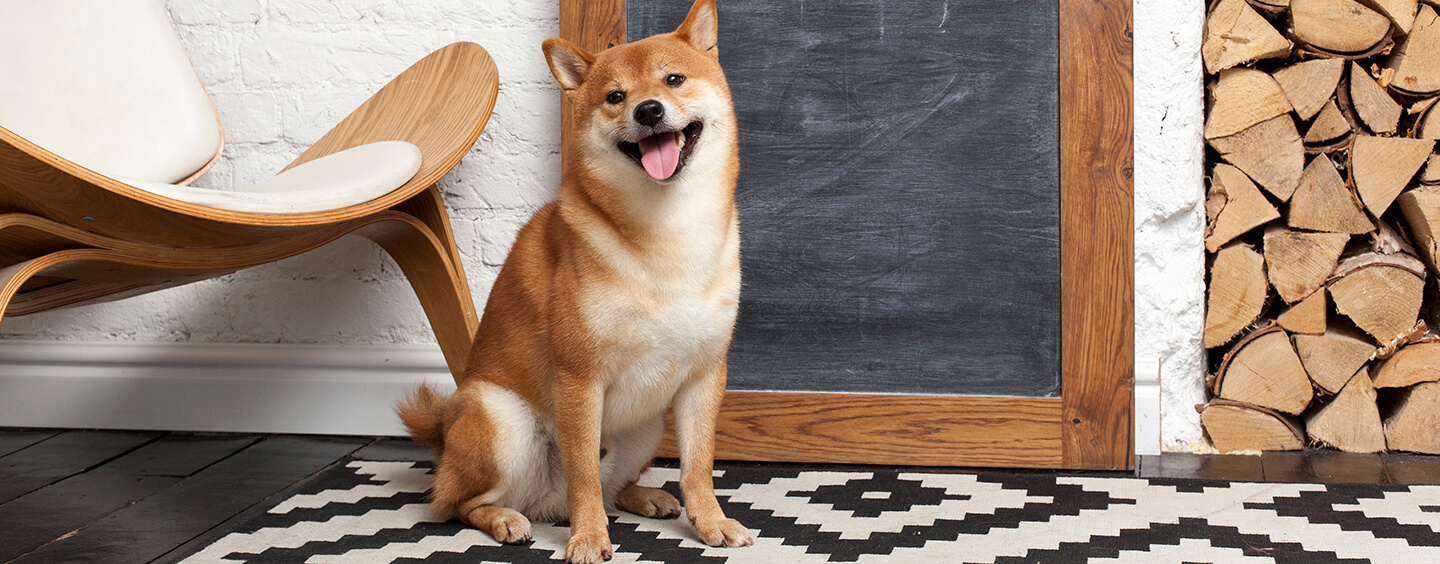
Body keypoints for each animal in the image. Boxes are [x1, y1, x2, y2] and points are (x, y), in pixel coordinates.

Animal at [397, 2, 754, 561]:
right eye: (615, 96)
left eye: (673, 79)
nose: (648, 110)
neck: (668, 234)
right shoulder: (579, 378)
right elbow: (583, 473)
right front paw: (588, 538)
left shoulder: (703, 375)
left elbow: (698, 466)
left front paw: (712, 521)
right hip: (501, 419)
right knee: (459, 502)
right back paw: (505, 518)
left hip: (647, 426)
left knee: (613, 487)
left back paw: (644, 495)